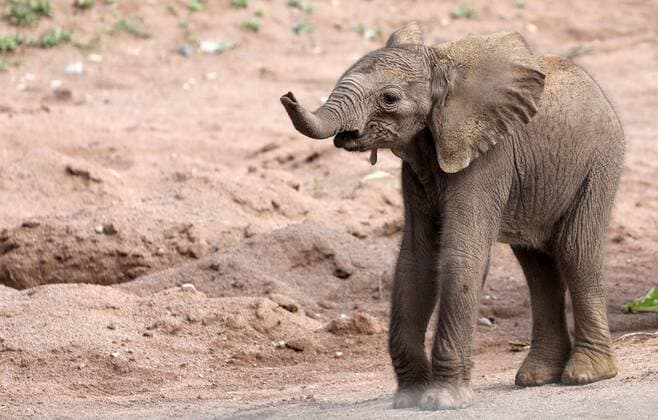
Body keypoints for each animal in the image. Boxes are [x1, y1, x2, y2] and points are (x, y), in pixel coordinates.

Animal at [280, 22, 624, 410]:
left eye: (390, 98)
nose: (287, 95)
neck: (442, 65)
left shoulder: (489, 157)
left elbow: (461, 256)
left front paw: (442, 401)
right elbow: (415, 263)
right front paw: (409, 399)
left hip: (600, 161)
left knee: (574, 252)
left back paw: (587, 374)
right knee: (537, 264)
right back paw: (537, 378)